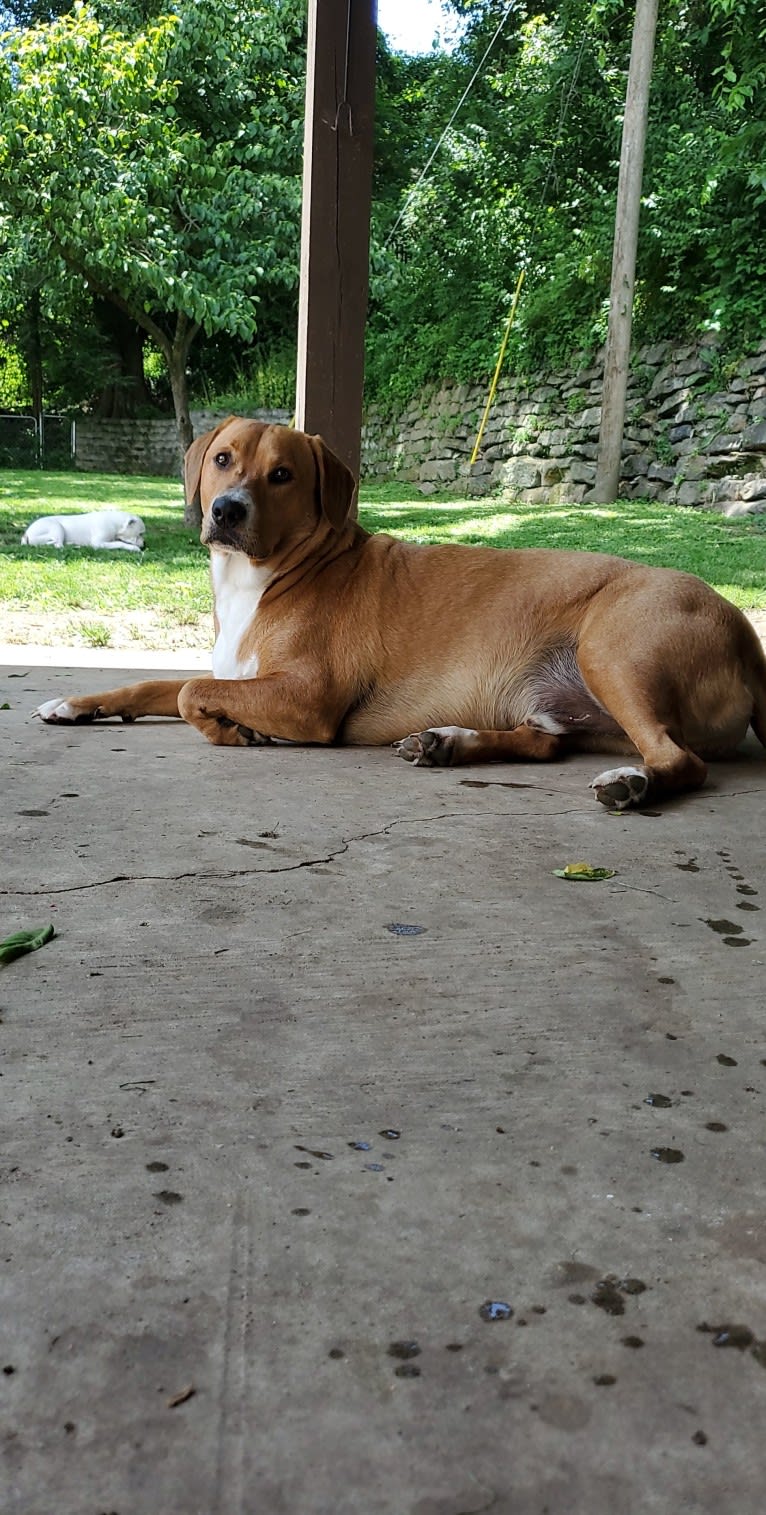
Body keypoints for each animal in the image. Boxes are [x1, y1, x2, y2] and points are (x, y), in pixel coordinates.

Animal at [37, 421, 766, 812]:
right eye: (222, 460)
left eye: (282, 475)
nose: (226, 510)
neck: (271, 576)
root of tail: (747, 638)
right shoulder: (233, 671)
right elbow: (153, 684)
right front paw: (77, 703)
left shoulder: (307, 699)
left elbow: (191, 692)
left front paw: (236, 730)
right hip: (573, 701)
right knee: (547, 740)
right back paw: (450, 743)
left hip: (611, 650)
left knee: (679, 759)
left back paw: (632, 784)